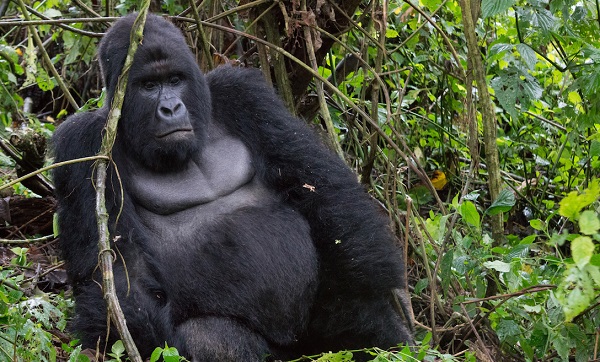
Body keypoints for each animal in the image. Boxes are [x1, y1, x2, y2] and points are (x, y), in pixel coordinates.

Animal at [52, 12, 412, 360]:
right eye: (148, 85)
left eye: (175, 80)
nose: (171, 108)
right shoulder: (82, 144)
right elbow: (117, 275)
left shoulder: (241, 91)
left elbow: (321, 189)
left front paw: (357, 297)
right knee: (209, 338)